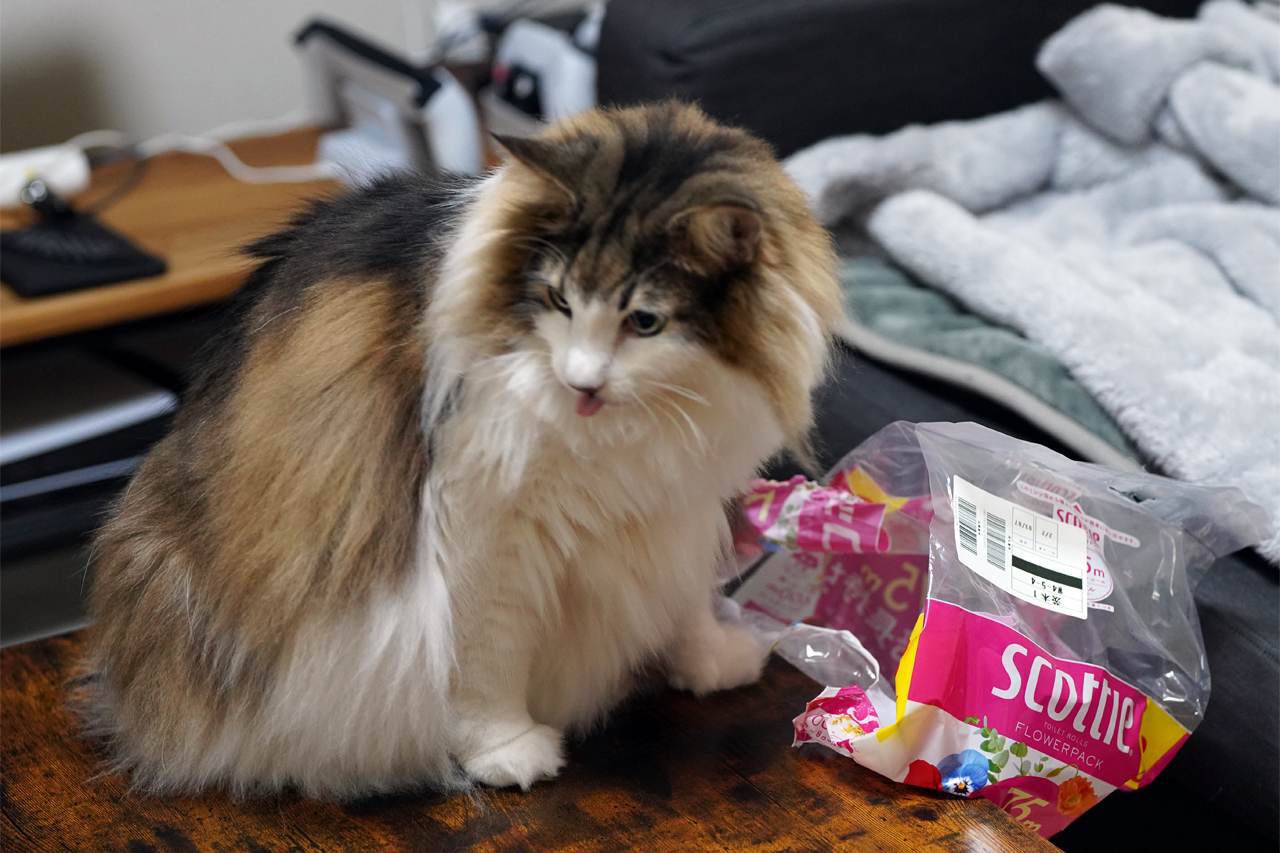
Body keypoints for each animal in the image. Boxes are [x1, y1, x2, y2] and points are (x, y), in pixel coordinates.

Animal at [80, 101, 843, 798]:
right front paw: (506, 750)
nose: (582, 382)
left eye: (645, 322)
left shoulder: (676, 501)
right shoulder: (484, 529)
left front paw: (712, 659)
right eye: (558, 300)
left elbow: (687, 599)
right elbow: (486, 664)